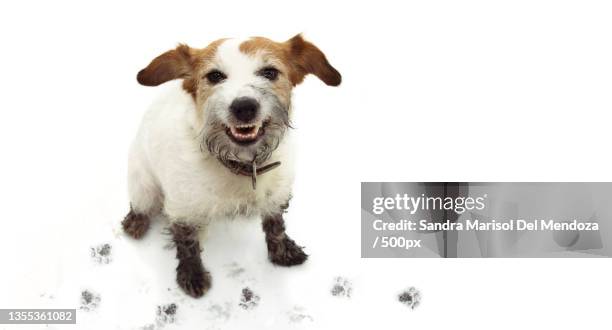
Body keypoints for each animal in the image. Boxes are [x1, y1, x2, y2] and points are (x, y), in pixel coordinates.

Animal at [119, 34, 340, 298]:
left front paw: (282, 250)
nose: (244, 106)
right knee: (141, 205)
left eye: (270, 72)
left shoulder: (277, 192)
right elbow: (187, 242)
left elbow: (276, 225)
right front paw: (192, 274)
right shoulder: (183, 208)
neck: (241, 163)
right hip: (143, 185)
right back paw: (135, 222)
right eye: (215, 76)